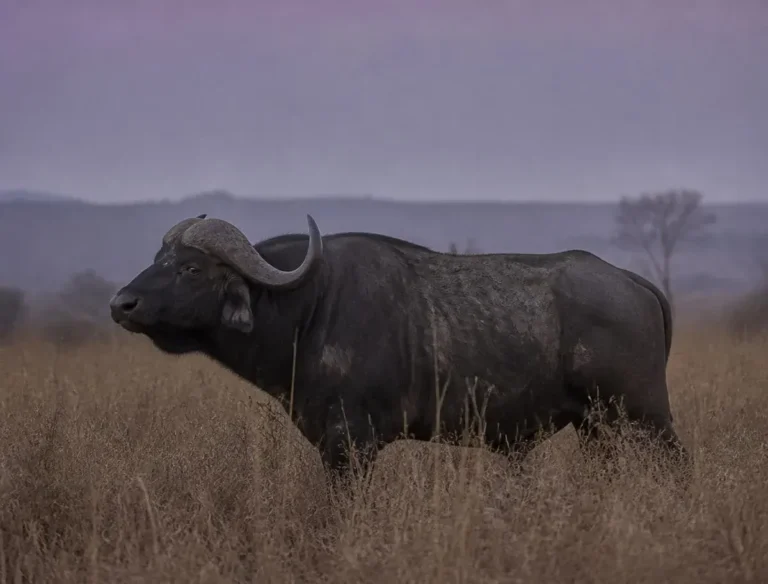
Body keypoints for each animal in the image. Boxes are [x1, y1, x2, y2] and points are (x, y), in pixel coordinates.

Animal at [110, 214, 688, 479]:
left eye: (190, 268)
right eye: (158, 259)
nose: (121, 304)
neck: (309, 306)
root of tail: (632, 282)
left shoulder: (353, 444)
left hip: (647, 417)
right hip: (599, 428)